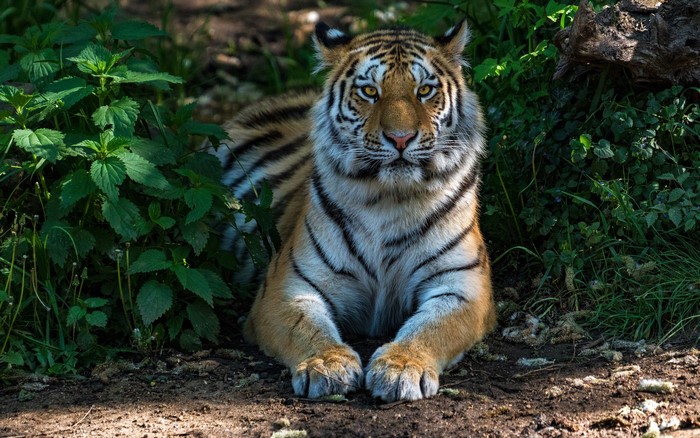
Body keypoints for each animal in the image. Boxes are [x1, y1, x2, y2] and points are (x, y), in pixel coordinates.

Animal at [216, 20, 496, 402]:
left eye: (424, 90)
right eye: (369, 92)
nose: (400, 138)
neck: (390, 199)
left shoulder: (462, 284)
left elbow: (433, 327)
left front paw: (401, 367)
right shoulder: (287, 285)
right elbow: (305, 327)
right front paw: (326, 364)